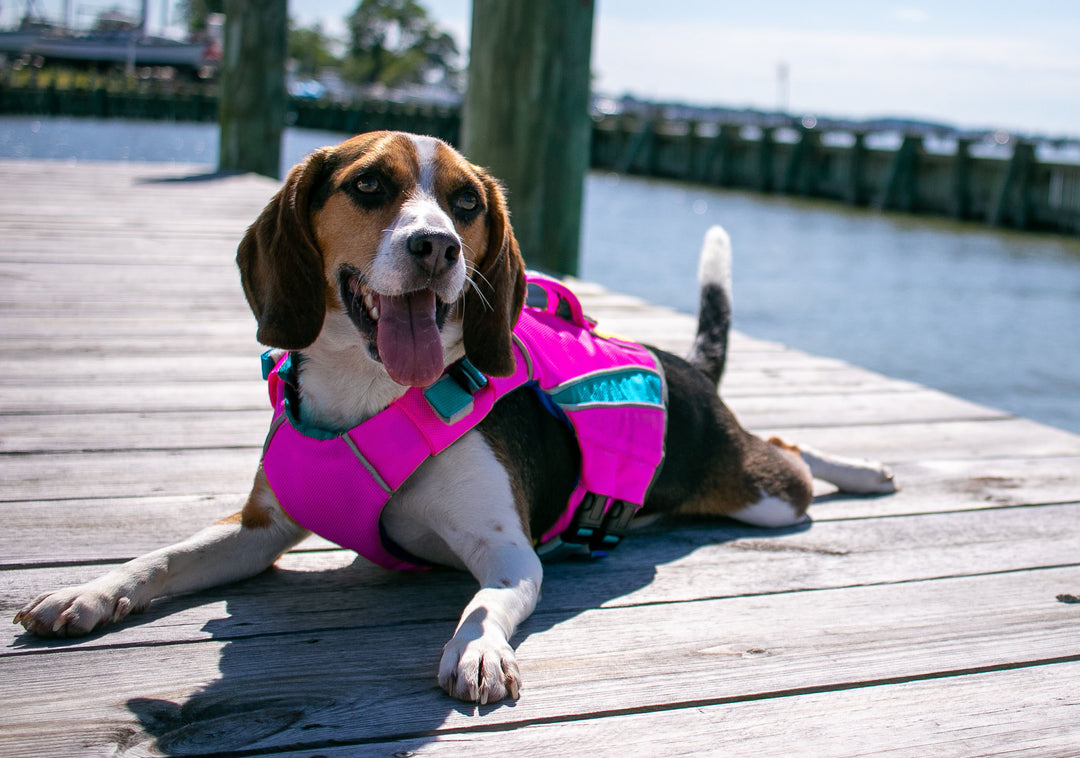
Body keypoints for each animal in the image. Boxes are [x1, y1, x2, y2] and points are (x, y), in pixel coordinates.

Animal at [14, 130, 894, 708]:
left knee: (788, 452)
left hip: (761, 494)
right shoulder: (259, 529)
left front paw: (476, 655)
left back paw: (864, 471)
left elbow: (481, 607)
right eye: (369, 186)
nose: (438, 246)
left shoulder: (508, 555)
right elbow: (162, 557)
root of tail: (681, 365)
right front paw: (88, 592)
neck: (369, 389)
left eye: (467, 202)